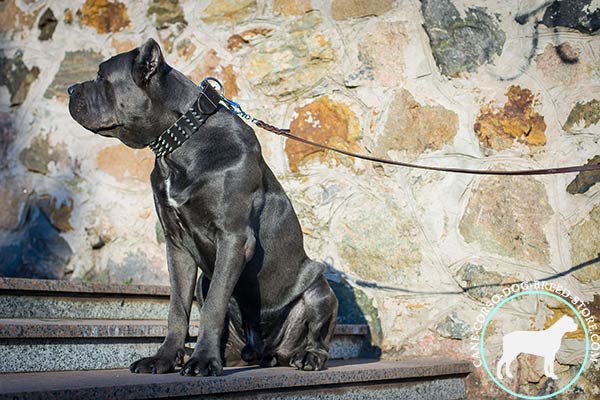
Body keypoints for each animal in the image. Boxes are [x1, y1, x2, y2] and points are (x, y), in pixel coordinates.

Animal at [68, 39, 340, 376]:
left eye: (101, 77)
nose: (69, 89)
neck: (179, 144)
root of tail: (268, 351)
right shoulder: (177, 245)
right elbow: (177, 308)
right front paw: (164, 358)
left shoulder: (234, 239)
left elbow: (213, 306)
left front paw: (202, 361)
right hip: (204, 282)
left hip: (319, 289)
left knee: (318, 334)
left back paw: (309, 356)